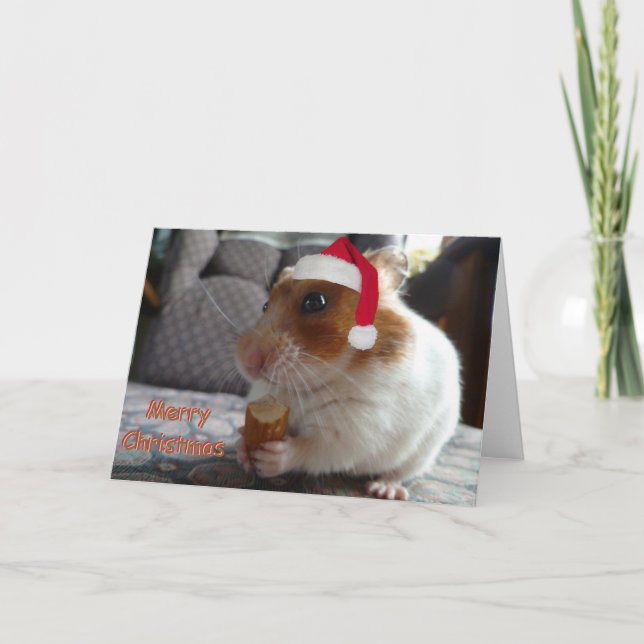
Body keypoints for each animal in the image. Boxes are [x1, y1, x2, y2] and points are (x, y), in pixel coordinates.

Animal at [234, 247, 461, 500]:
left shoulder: (356, 429)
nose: (247, 361)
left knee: (399, 472)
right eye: (264, 306)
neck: (307, 387)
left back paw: (384, 489)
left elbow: (314, 448)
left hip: (424, 452)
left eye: (315, 301)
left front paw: (270, 457)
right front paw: (242, 446)